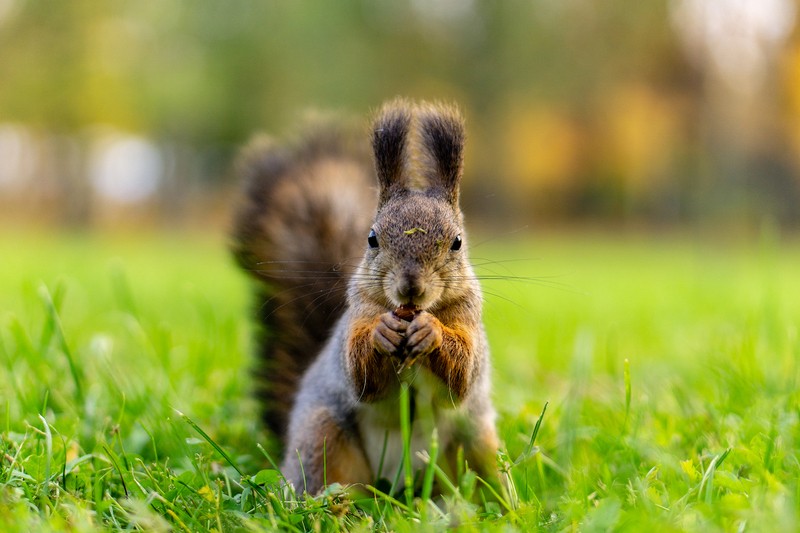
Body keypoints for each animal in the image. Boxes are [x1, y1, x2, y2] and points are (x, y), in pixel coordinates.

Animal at [228, 97, 496, 492]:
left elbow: (461, 376)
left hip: (473, 444)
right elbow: (359, 374)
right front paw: (382, 333)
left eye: (457, 242)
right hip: (323, 436)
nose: (410, 288)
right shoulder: (358, 313)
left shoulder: (468, 317)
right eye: (372, 239)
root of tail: (398, 484)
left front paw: (430, 331)